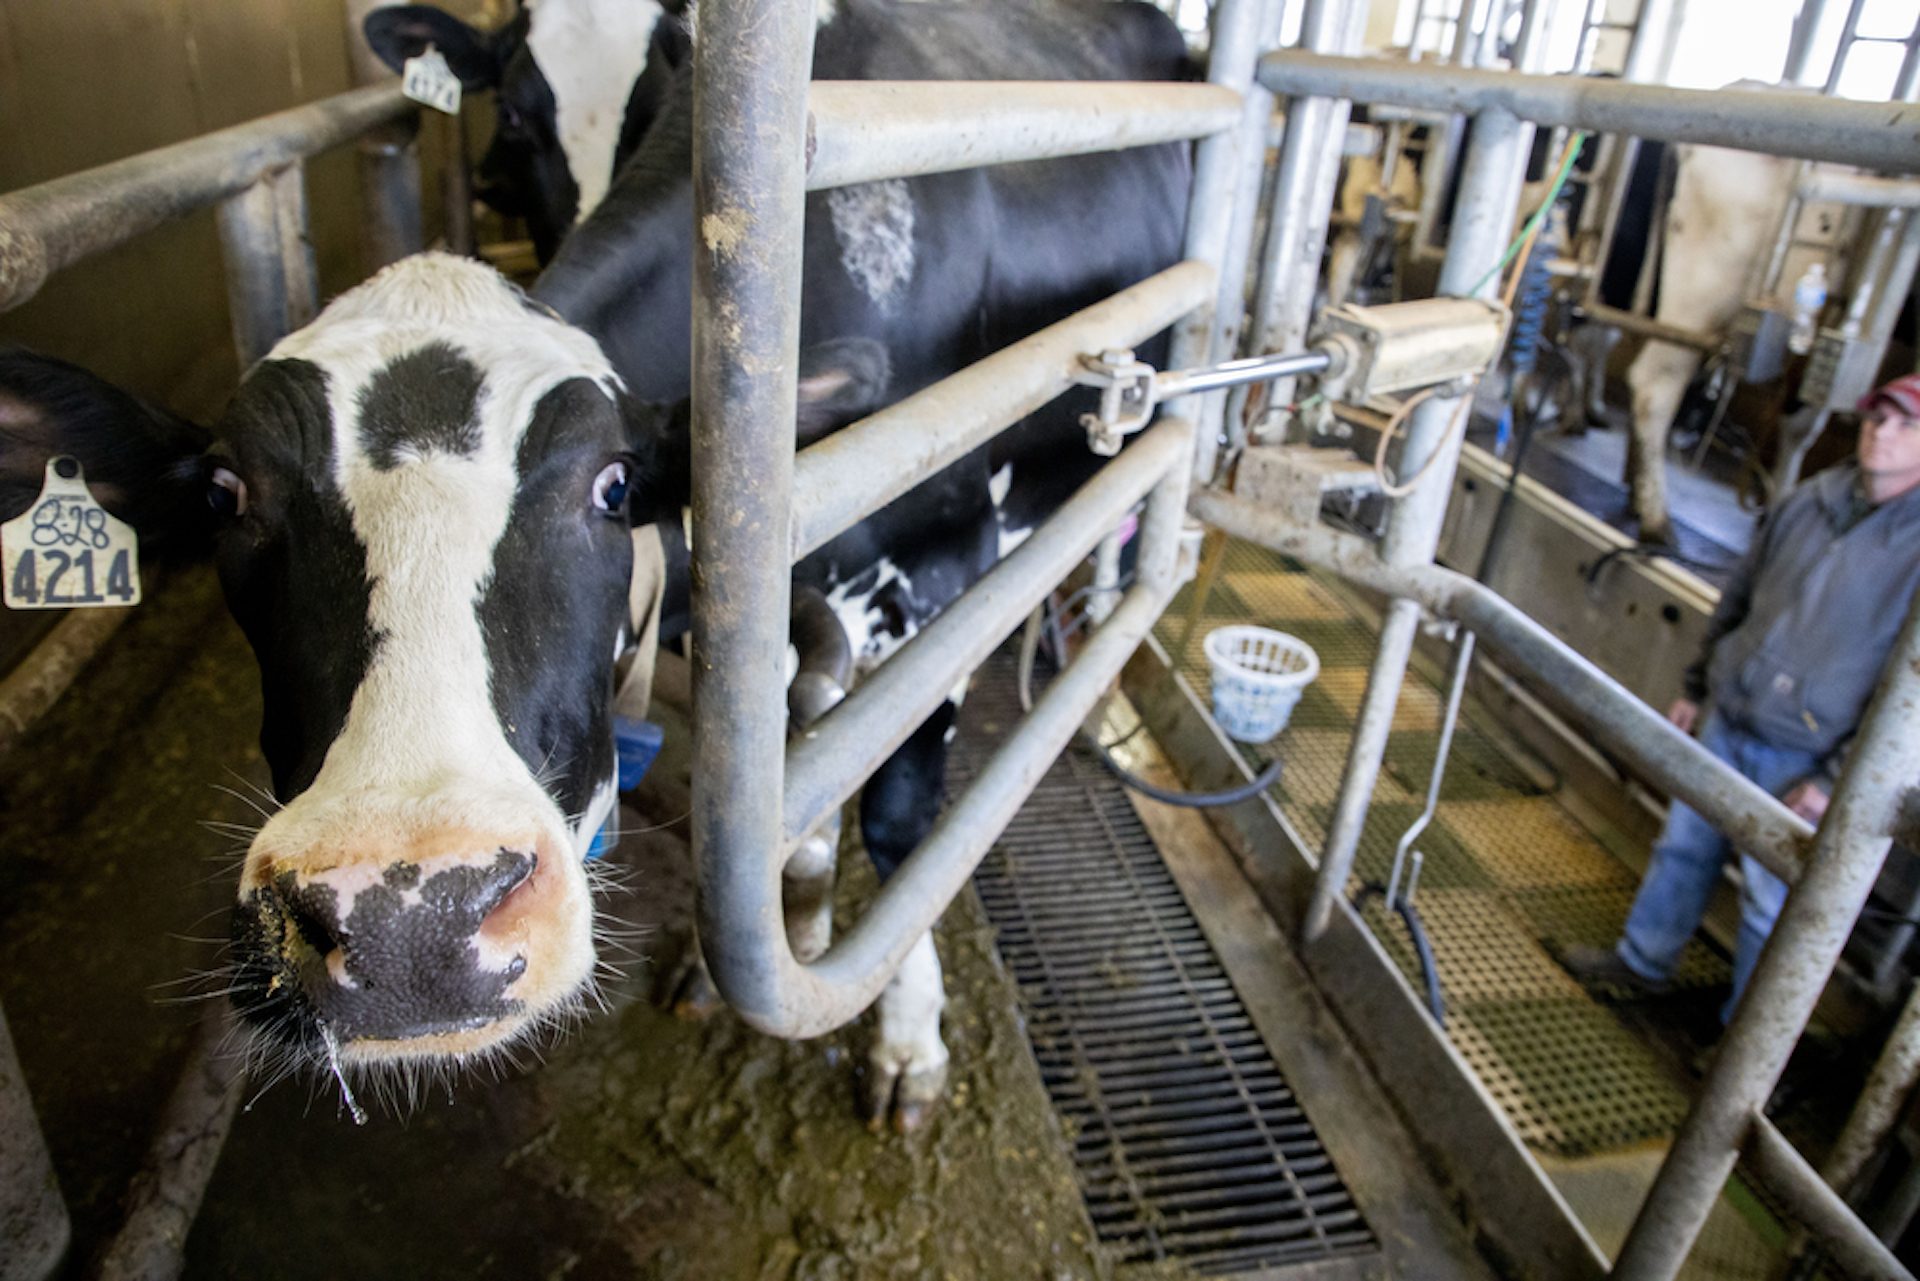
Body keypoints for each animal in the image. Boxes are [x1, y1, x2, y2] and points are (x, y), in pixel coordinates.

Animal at [0, 0, 1190, 1129]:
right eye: (225, 496)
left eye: (613, 487)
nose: (406, 922)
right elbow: (762, 781)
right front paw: (753, 934)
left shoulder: (941, 566)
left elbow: (902, 823)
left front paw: (904, 1038)